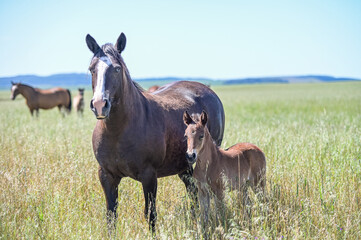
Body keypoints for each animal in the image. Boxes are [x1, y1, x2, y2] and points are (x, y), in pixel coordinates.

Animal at [85, 32, 224, 232]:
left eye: (117, 69)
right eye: (91, 69)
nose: (99, 105)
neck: (118, 132)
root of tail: (208, 91)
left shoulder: (149, 176)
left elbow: (150, 214)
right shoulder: (106, 176)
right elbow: (111, 216)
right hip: (185, 166)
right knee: (193, 191)